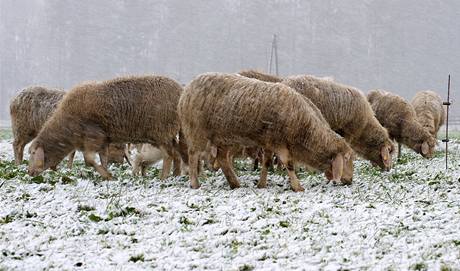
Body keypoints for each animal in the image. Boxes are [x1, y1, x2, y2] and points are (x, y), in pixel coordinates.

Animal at [26, 75, 185, 180]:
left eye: (33, 153)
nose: (29, 172)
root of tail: (180, 90)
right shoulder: (103, 141)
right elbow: (103, 159)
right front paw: (107, 174)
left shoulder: (93, 136)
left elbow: (89, 159)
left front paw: (107, 175)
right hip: (168, 134)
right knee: (176, 153)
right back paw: (175, 175)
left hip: (162, 131)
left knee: (168, 155)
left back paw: (163, 177)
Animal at [178, 73, 354, 192]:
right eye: (346, 159)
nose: (350, 180)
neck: (305, 128)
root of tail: (188, 89)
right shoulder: (279, 142)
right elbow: (289, 164)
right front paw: (297, 186)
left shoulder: (269, 142)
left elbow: (267, 163)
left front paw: (261, 184)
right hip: (196, 130)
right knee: (193, 155)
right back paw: (195, 183)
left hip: (224, 137)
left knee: (222, 159)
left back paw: (235, 183)